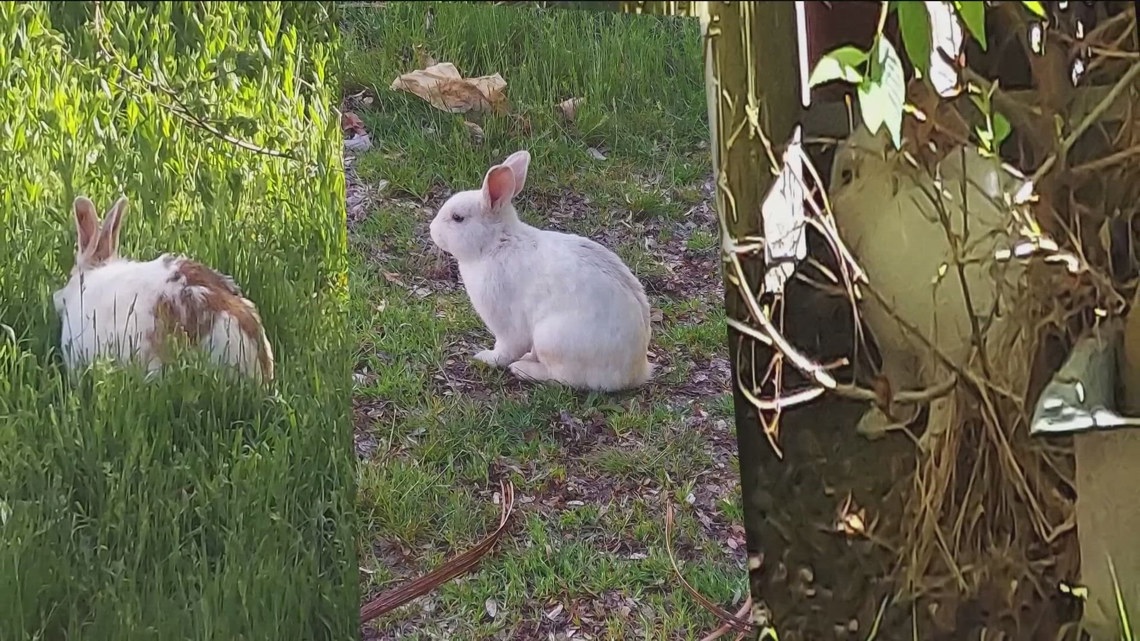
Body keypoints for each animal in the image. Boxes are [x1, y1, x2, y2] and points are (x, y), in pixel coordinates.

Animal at [428, 150, 653, 392]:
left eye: (457, 218)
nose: (432, 229)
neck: (495, 244)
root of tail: (635, 372)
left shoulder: (506, 323)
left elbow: (505, 349)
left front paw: (485, 358)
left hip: (552, 339)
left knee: (562, 377)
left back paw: (523, 369)